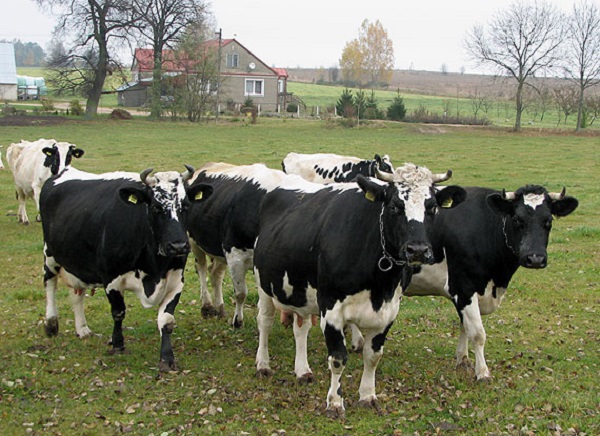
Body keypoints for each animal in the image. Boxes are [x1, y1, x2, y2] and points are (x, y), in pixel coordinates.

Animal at [41, 164, 196, 372]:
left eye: (185, 205)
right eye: (155, 207)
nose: (178, 246)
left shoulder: (176, 281)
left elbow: (166, 321)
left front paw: (167, 358)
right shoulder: (111, 278)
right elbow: (118, 312)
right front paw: (117, 344)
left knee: (77, 294)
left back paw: (82, 329)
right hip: (50, 255)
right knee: (49, 284)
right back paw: (51, 324)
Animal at [251, 164, 466, 418]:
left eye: (431, 207)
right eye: (394, 206)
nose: (418, 250)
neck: (379, 285)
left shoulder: (389, 311)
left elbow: (373, 357)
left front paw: (367, 396)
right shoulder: (331, 308)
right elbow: (337, 359)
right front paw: (335, 402)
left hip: (300, 291)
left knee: (300, 328)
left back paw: (303, 370)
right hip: (264, 284)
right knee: (265, 321)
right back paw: (263, 364)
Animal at [406, 185, 580, 382]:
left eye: (548, 221)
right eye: (517, 219)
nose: (535, 258)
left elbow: (465, 325)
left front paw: (463, 360)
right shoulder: (463, 286)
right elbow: (477, 333)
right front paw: (482, 372)